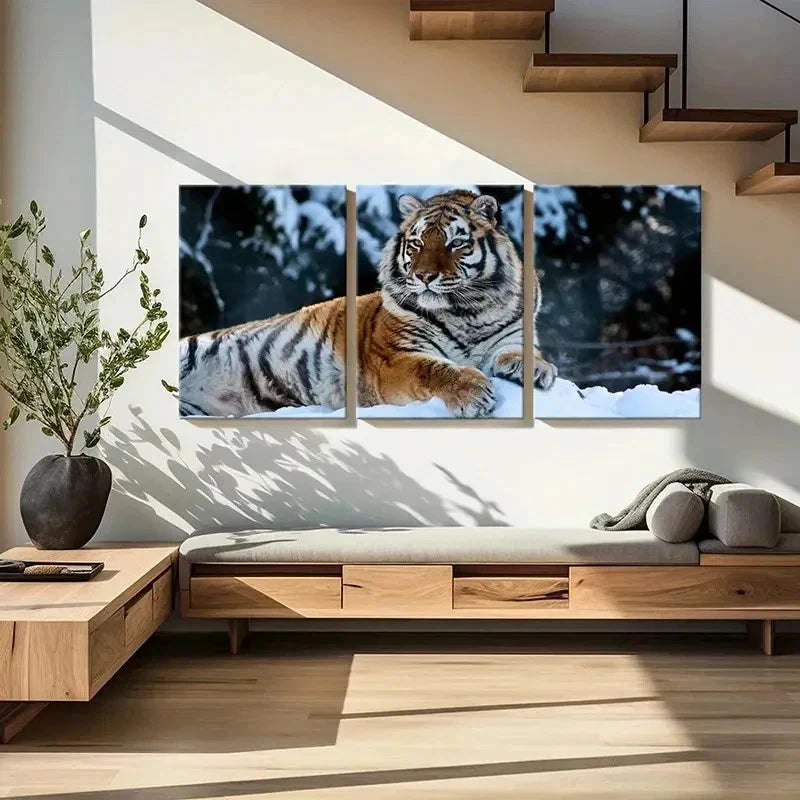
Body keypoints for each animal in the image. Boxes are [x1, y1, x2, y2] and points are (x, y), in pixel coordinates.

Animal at [178, 189, 557, 418]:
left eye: (455, 243)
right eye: (417, 243)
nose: (424, 276)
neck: (468, 311)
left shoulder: (514, 334)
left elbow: (524, 352)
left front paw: (537, 369)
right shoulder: (394, 357)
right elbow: (434, 369)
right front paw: (473, 392)